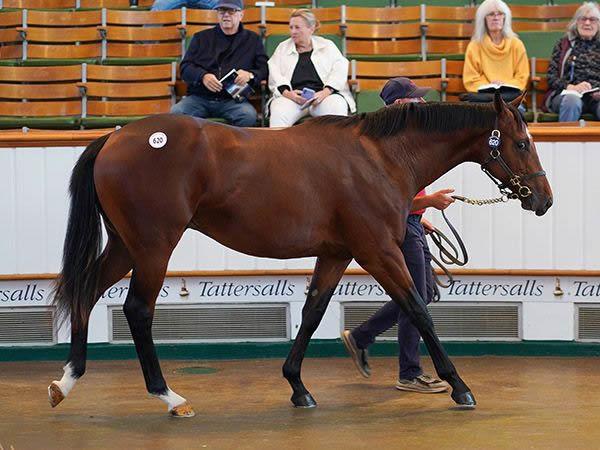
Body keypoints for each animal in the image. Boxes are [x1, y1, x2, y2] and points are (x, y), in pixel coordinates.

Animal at [48, 92, 552, 418]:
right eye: (522, 143)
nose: (544, 200)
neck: (380, 158)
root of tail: (115, 138)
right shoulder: (378, 250)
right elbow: (418, 309)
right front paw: (460, 388)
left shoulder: (336, 253)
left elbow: (312, 312)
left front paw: (297, 386)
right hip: (153, 247)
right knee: (137, 310)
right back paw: (169, 396)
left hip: (125, 245)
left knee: (87, 292)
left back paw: (67, 380)